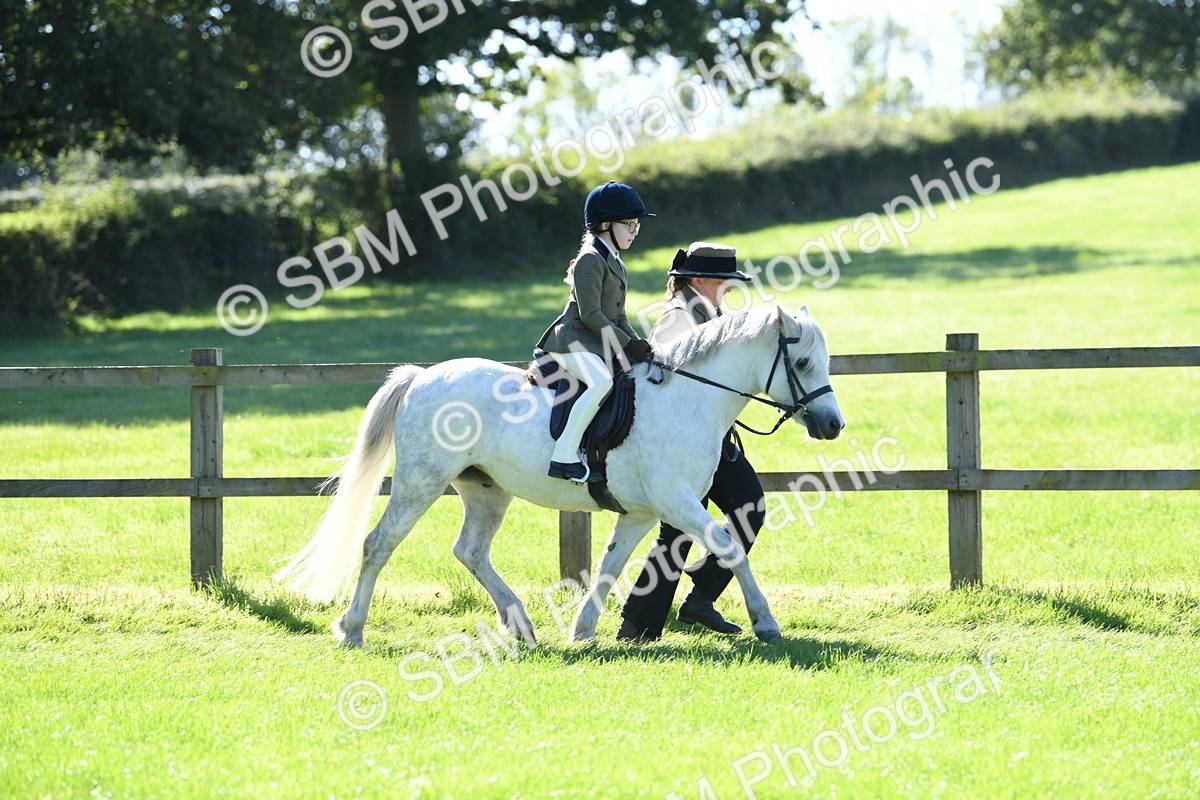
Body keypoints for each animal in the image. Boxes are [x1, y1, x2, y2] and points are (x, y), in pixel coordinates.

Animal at [275, 304, 844, 647]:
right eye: (803, 362)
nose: (833, 424)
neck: (689, 397)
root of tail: (422, 376)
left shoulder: (641, 514)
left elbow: (612, 566)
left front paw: (583, 629)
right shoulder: (677, 503)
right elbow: (729, 547)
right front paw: (765, 621)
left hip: (486, 491)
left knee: (470, 551)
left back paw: (521, 625)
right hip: (421, 483)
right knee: (379, 544)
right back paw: (352, 630)